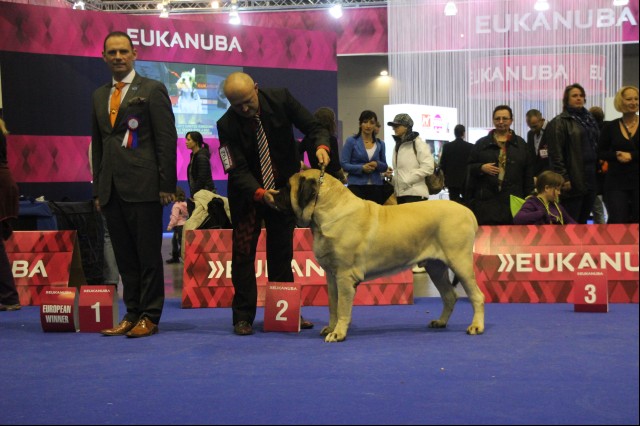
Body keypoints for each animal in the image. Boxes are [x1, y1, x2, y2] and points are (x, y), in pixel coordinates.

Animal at [276, 170, 484, 342]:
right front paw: (331, 328)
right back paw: (440, 322)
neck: (328, 211)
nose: (273, 193)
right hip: (436, 268)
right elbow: (332, 305)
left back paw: (476, 326)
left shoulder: (344, 276)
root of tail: (468, 212)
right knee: (449, 296)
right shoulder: (332, 276)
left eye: (287, 186)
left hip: (460, 263)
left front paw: (338, 333)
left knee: (477, 296)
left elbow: (342, 306)